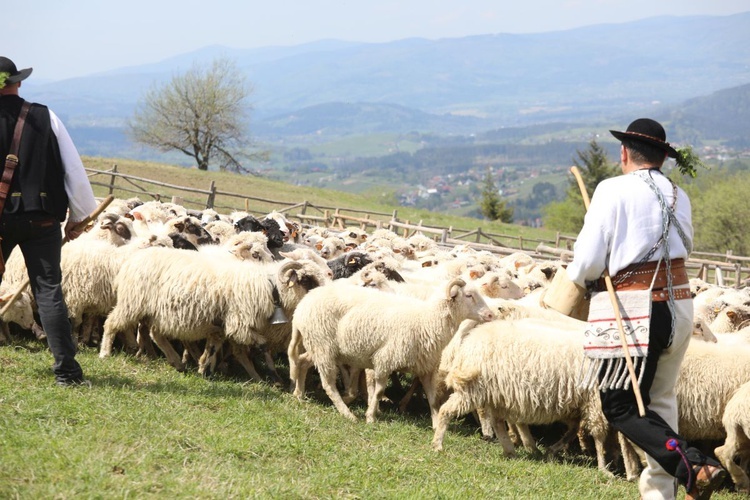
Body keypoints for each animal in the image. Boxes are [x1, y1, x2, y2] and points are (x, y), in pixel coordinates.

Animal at [292, 280, 494, 424]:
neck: (427, 319)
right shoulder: (385, 359)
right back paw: (347, 413)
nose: (491, 315)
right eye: (469, 295)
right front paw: (371, 416)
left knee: (302, 361)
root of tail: (302, 305)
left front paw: (436, 423)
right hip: (322, 346)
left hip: (319, 346)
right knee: (328, 384)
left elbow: (432, 398)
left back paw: (299, 395)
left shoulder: (426, 369)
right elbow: (379, 390)